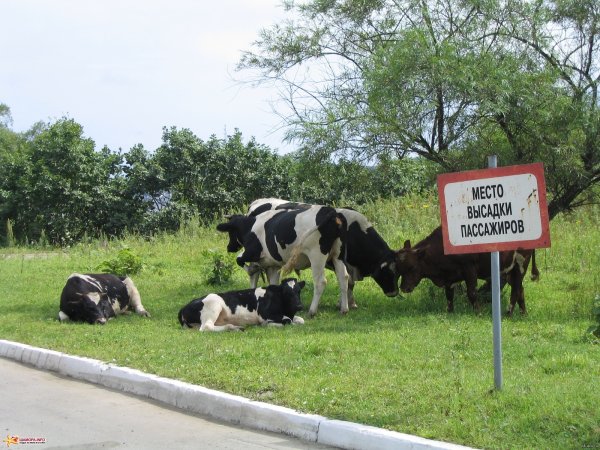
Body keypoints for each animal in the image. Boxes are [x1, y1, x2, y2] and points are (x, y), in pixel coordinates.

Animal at [217, 205, 350, 314]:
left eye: (230, 232)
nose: (229, 247)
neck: (250, 227)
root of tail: (331, 211)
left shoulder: (252, 252)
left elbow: (239, 259)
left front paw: (252, 269)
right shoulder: (273, 265)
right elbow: (273, 283)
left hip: (317, 255)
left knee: (320, 282)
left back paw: (312, 311)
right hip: (337, 256)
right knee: (343, 278)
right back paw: (344, 309)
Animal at [241, 198, 400, 308]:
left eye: (398, 273)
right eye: (388, 272)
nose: (394, 293)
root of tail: (256, 202)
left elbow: (347, 281)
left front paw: (349, 304)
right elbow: (349, 282)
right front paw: (345, 303)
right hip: (256, 254)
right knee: (254, 274)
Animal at [394, 227, 540, 314]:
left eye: (412, 267)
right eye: (400, 269)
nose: (404, 288)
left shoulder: (469, 268)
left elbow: (472, 293)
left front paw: (478, 312)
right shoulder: (449, 277)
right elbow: (449, 295)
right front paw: (449, 311)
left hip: (521, 265)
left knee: (515, 290)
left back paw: (509, 313)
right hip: (510, 270)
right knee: (520, 289)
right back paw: (523, 313)